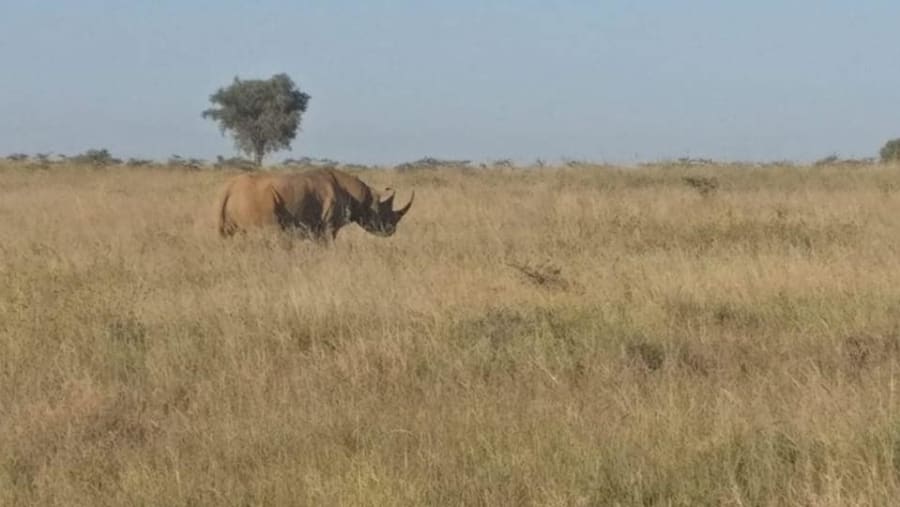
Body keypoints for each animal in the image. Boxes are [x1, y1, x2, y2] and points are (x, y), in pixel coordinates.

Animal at [216, 168, 414, 242]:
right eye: (384, 214)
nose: (391, 231)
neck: (363, 198)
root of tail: (229, 188)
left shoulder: (315, 227)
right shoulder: (328, 226)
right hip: (257, 200)